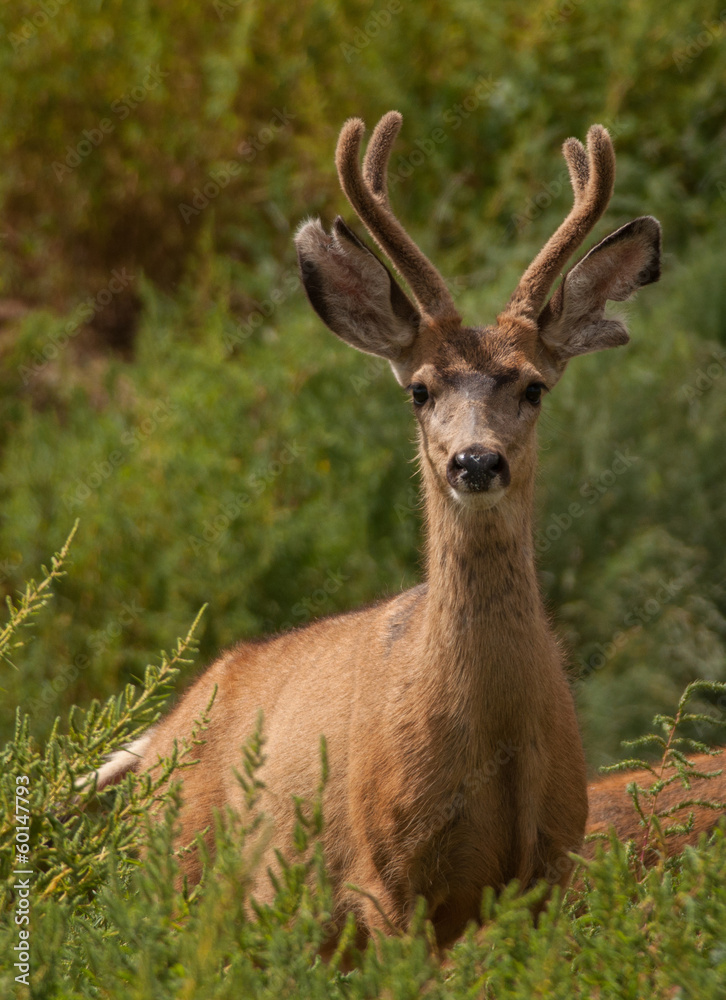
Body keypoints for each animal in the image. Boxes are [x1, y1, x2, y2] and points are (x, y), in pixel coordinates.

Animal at [95, 113, 664, 948]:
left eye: (533, 385)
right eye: (419, 389)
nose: (475, 461)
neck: (493, 740)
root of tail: (158, 738)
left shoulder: (548, 871)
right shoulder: (387, 882)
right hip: (184, 882)